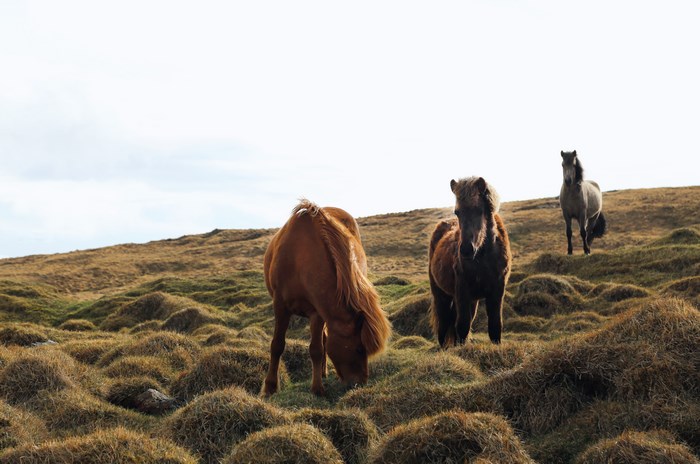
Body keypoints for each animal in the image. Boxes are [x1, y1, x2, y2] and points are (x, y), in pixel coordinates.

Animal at [262, 199, 391, 396]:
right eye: (359, 348)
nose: (360, 383)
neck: (299, 259)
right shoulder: (280, 306)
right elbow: (277, 345)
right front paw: (270, 387)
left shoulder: (317, 312)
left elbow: (316, 349)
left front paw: (317, 388)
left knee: (322, 340)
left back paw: (322, 373)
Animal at [428, 177, 512, 347]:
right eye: (457, 212)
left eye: (479, 210)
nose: (466, 250)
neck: (484, 259)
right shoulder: (462, 291)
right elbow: (462, 326)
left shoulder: (497, 290)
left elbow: (495, 326)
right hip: (441, 294)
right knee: (443, 324)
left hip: (470, 300)